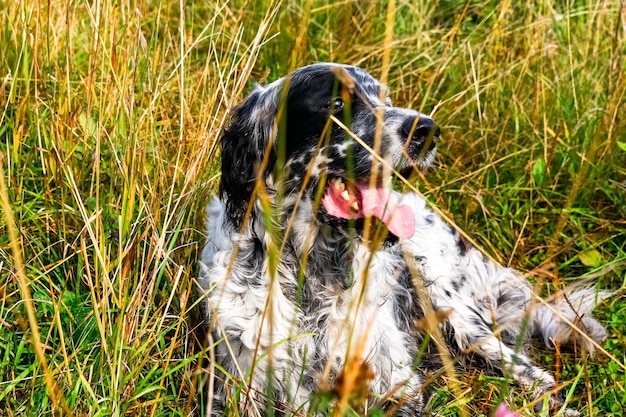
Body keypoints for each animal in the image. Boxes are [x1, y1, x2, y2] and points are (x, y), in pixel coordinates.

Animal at [199, 63, 604, 414]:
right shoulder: (238, 385)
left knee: (530, 371)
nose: (427, 130)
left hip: (452, 306)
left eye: (386, 98)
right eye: (335, 104)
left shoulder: (396, 383)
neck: (312, 274)